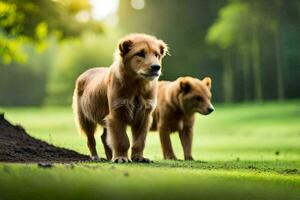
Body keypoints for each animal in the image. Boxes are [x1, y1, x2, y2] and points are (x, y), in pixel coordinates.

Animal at [72, 33, 168, 163]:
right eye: (140, 53)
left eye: (157, 54)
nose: (156, 67)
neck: (137, 85)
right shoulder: (117, 113)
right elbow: (122, 140)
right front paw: (121, 158)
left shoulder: (144, 116)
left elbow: (139, 141)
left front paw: (139, 157)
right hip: (85, 119)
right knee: (91, 140)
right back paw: (95, 157)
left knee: (104, 137)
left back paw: (109, 157)